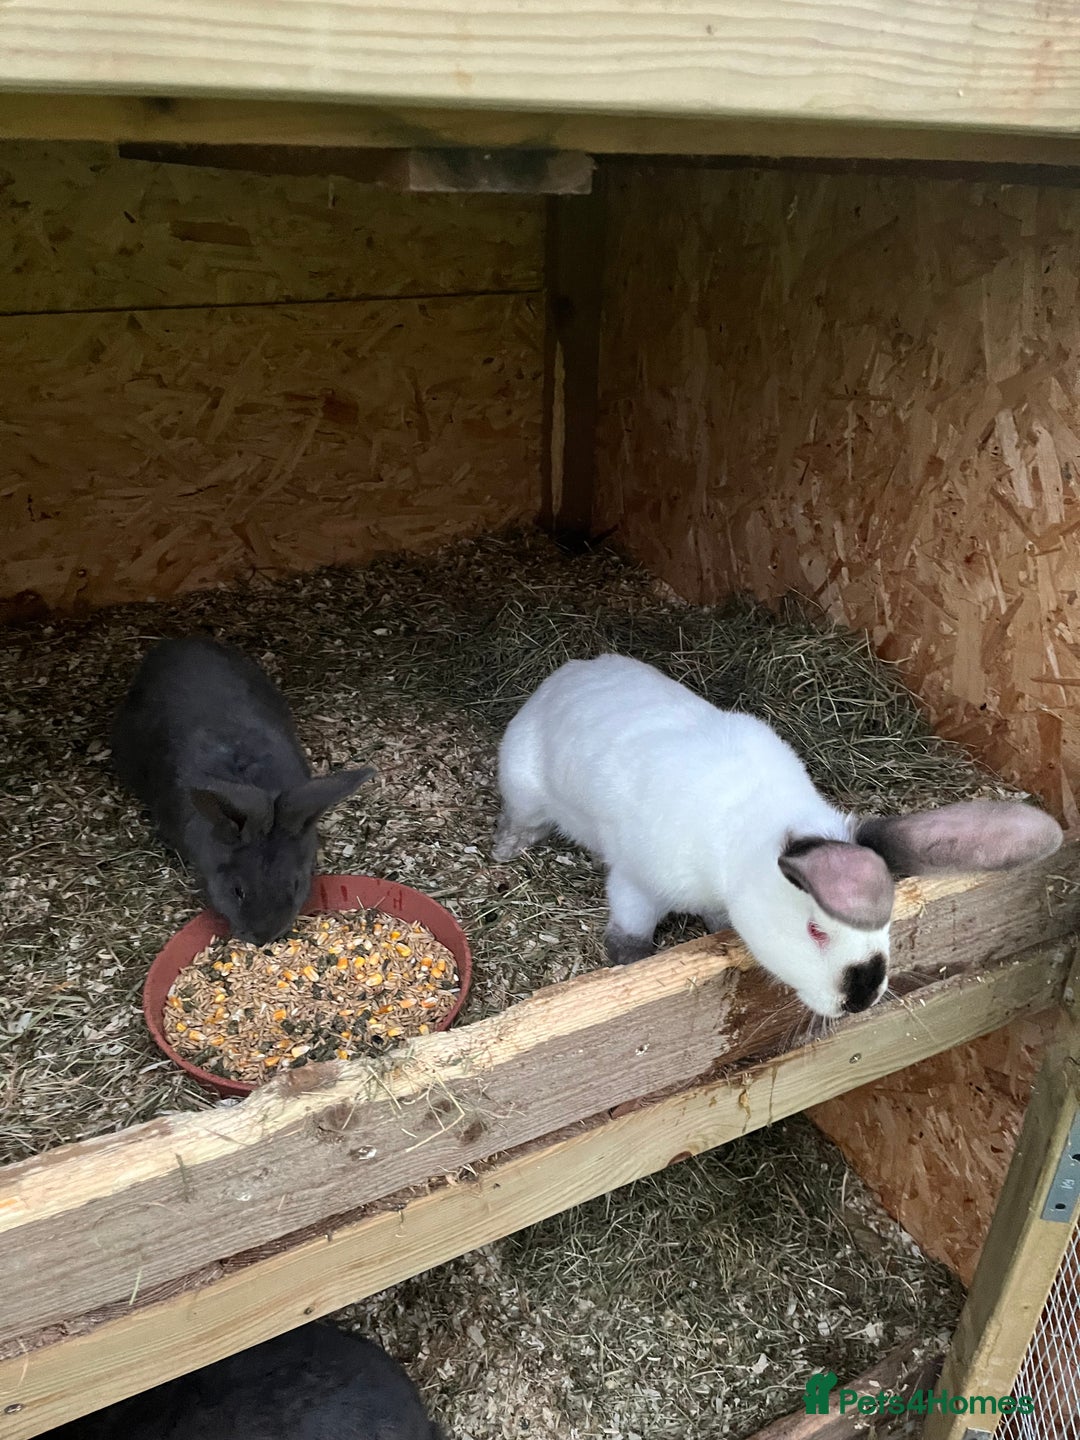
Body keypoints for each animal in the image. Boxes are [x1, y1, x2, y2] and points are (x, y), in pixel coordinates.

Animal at [492, 654, 1063, 1018]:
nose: (861, 998)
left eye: (889, 923)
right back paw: (505, 849)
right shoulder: (636, 883)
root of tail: (567, 674)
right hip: (523, 784)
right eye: (815, 931)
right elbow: (631, 930)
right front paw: (629, 963)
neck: (742, 844)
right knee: (522, 817)